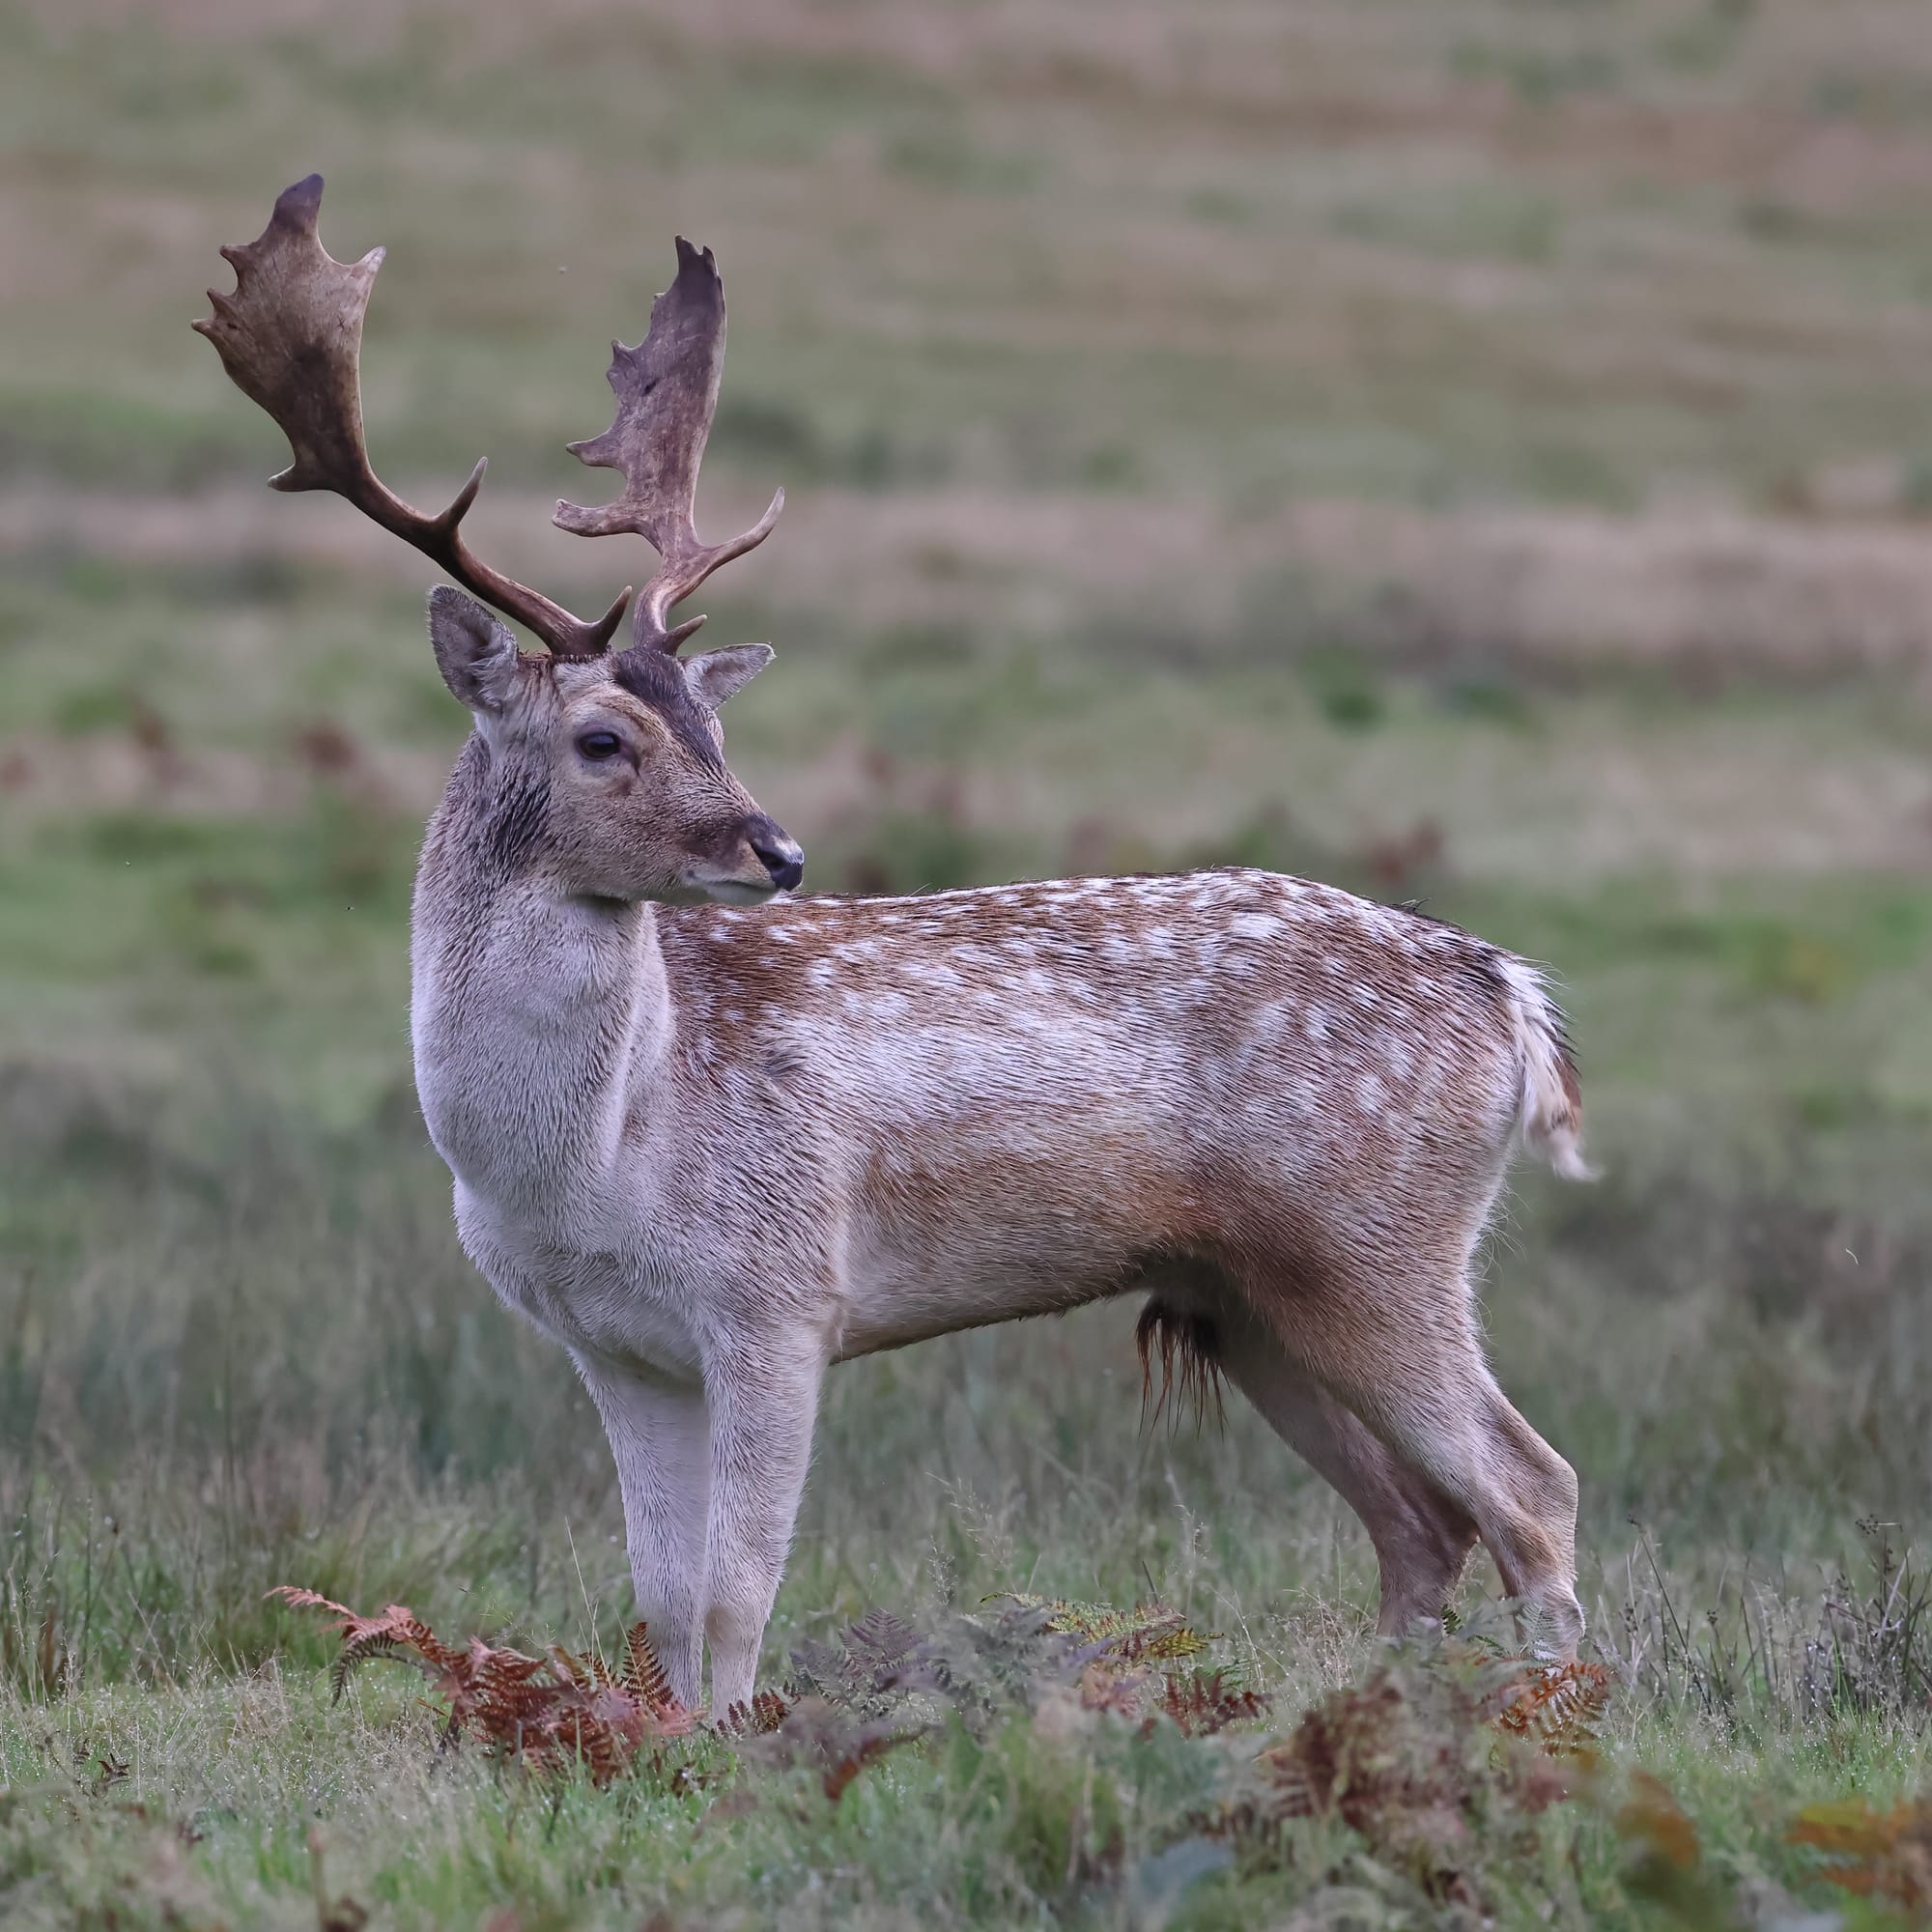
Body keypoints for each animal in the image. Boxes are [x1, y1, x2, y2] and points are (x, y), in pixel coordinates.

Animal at [196, 182, 1592, 1716]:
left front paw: (735, 1745)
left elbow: (737, 1595)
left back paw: (1554, 1718)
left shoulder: (780, 1295)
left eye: (715, 725)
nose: (777, 851)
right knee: (1423, 1521)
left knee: (1533, 1488)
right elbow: (662, 1600)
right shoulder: (613, 1346)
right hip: (1246, 1293)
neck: (595, 1155)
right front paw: (676, 1742)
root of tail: (1511, 999)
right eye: (605, 738)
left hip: (1376, 1243)